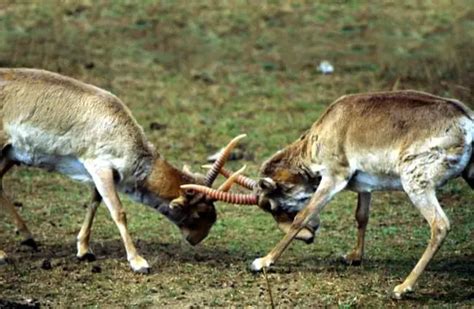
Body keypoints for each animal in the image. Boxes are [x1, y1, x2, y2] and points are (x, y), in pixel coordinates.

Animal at [0, 68, 239, 272]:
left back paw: (27, 237)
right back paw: (4, 254)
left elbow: (94, 202)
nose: (197, 239)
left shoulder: (101, 173)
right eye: (200, 212)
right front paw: (138, 262)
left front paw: (84, 250)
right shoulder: (100, 167)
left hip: (10, 155)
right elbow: (118, 212)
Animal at [186, 90, 474, 298]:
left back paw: (402, 288)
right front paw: (353, 257)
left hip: (415, 182)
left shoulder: (333, 177)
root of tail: (465, 120)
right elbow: (361, 216)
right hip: (469, 175)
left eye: (272, 205)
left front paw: (262, 261)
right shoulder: (364, 186)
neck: (329, 126)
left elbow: (303, 214)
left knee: (440, 225)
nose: (309, 237)